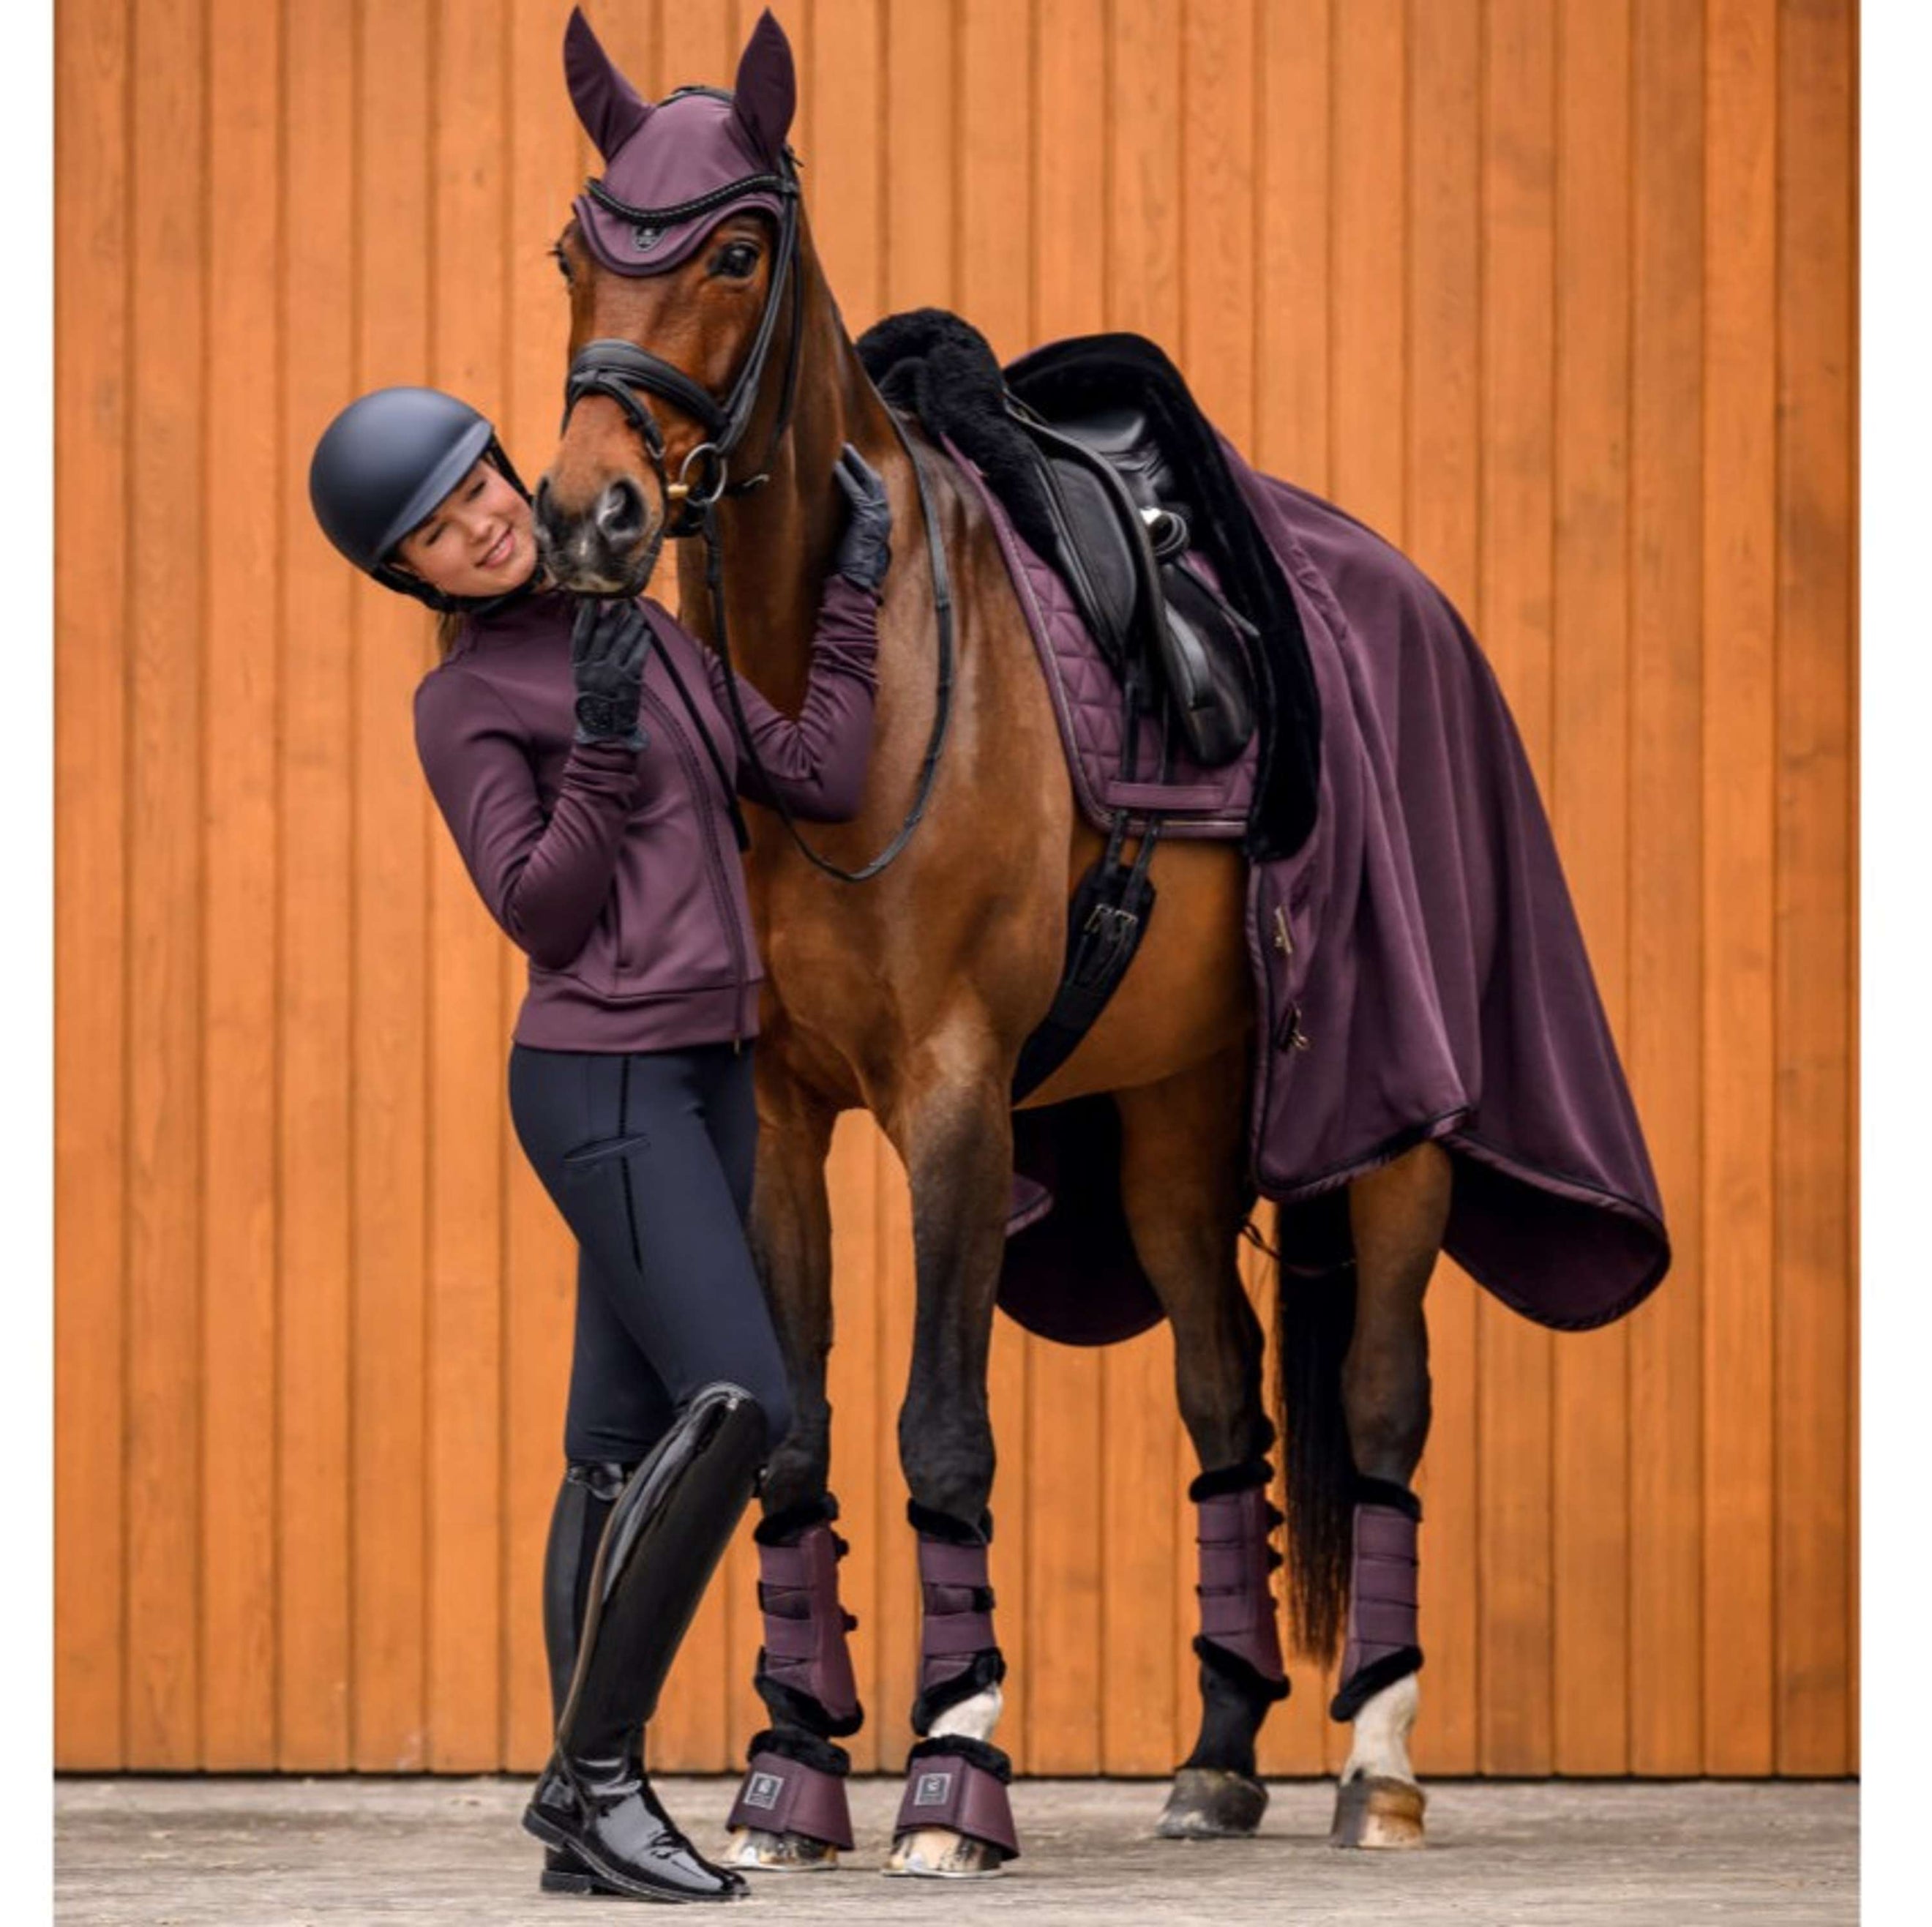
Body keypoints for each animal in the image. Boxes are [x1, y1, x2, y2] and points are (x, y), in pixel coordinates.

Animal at [533, 6, 1454, 1874]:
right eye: (573, 252)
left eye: (735, 248)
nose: (590, 513)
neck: (844, 690)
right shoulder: (781, 1115)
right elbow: (793, 1431)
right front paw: (788, 1769)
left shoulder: (956, 1094)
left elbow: (942, 1430)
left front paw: (953, 1772)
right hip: (1173, 1123)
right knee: (1226, 1402)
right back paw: (1218, 1754)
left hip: (1391, 1130)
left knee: (1385, 1399)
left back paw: (1373, 1763)